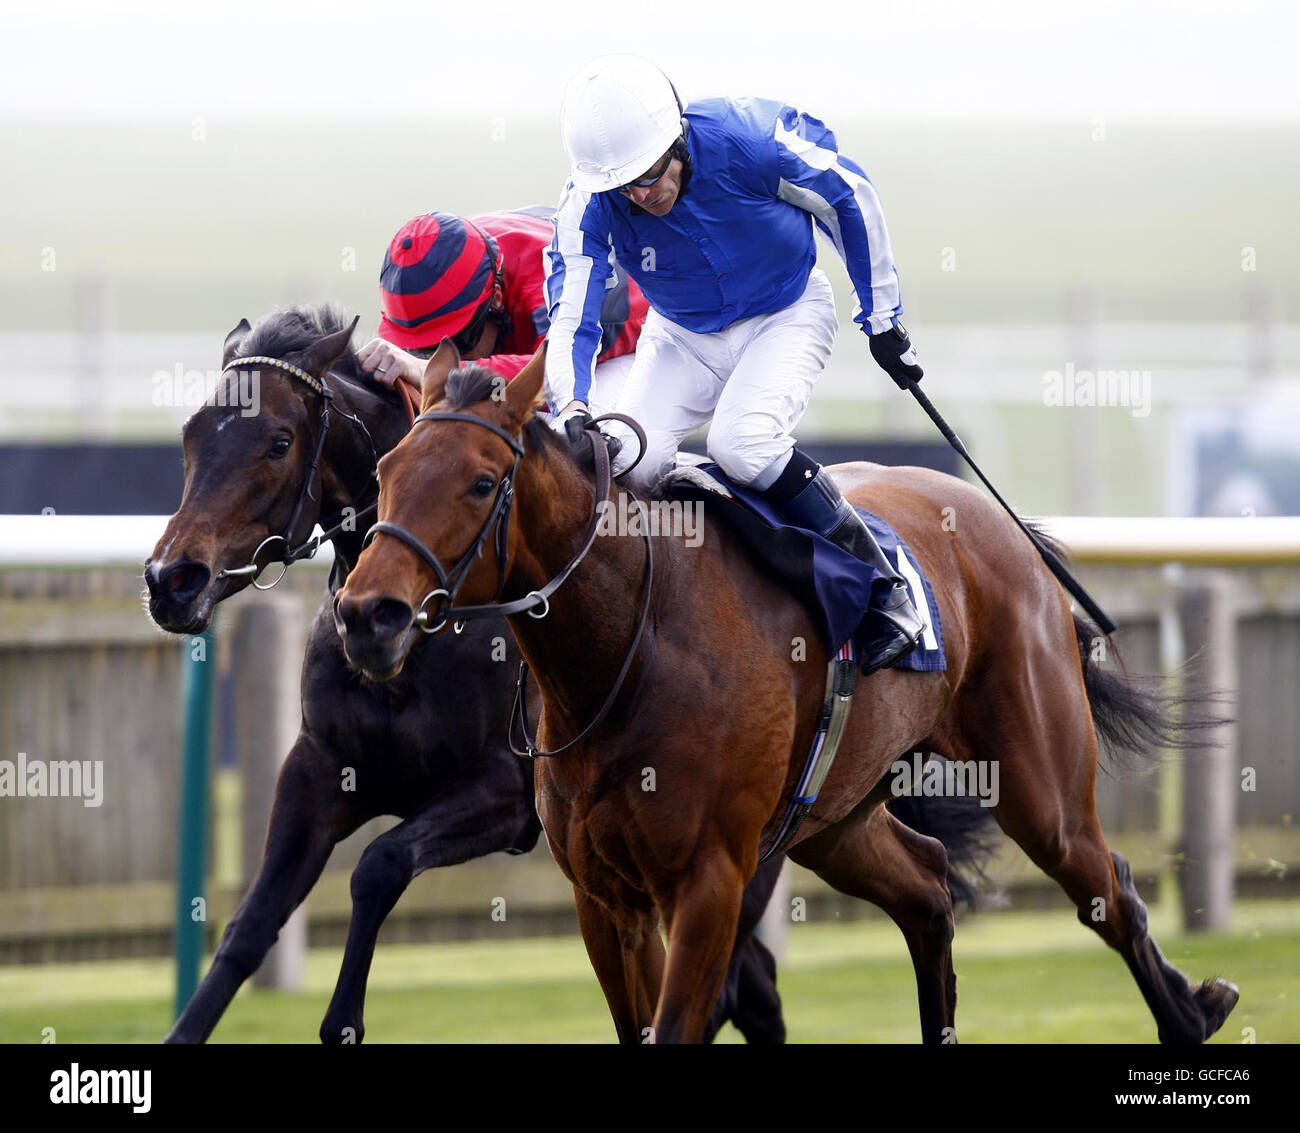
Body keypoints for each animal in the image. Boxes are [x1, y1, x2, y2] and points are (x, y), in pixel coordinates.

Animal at [144, 302, 790, 1044]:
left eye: (279, 440)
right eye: (192, 434)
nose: (171, 579)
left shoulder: (504, 791)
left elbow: (379, 864)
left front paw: (343, 1019)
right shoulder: (319, 768)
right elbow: (251, 923)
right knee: (754, 982)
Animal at [332, 343, 1237, 1044]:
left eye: (483, 482)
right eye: (385, 468)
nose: (367, 614)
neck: (632, 649)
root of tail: (1004, 526)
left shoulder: (708, 882)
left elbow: (681, 1021)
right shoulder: (605, 893)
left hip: (1038, 789)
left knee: (1110, 889)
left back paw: (1192, 1012)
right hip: (835, 818)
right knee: (928, 888)